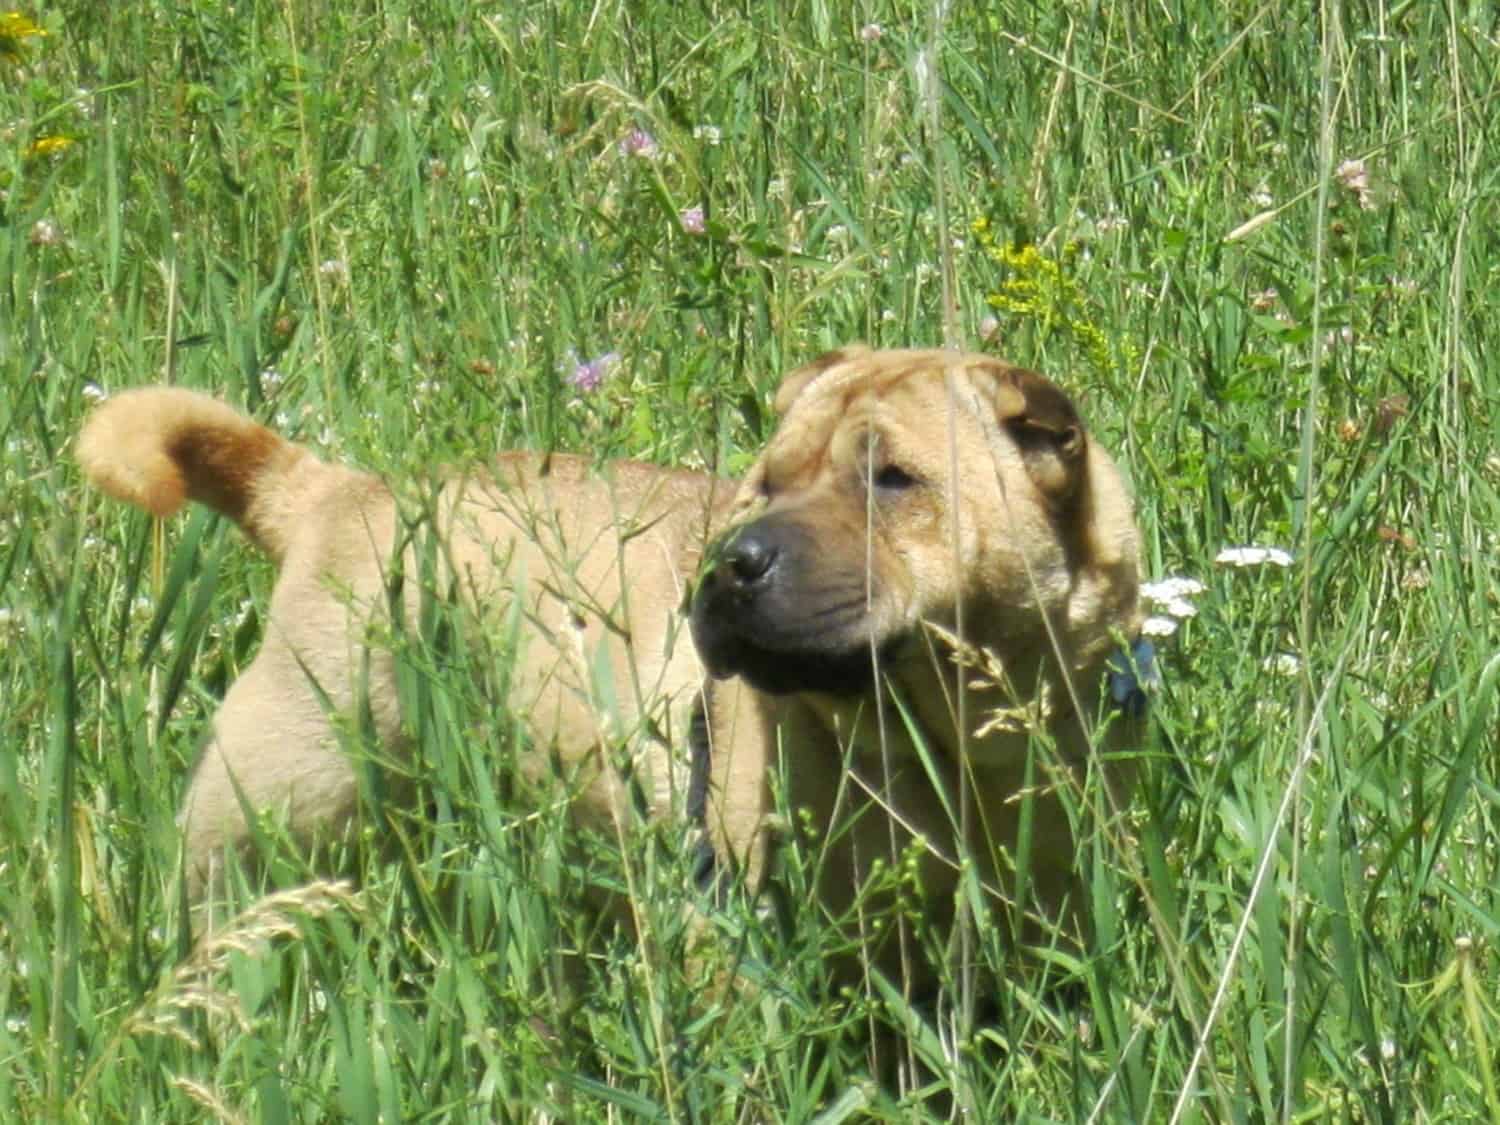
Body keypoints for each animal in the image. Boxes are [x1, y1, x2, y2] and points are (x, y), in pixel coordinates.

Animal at [79, 346, 1134, 978]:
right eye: (764, 485)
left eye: (894, 479)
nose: (731, 562)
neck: (955, 744)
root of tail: (337, 491)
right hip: (274, 797)